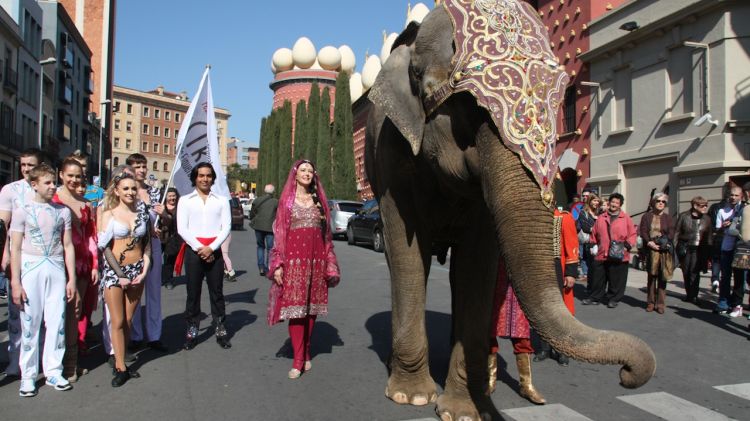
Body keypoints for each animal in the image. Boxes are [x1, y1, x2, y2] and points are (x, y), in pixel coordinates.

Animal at [368, 0, 656, 420]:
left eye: (559, 101)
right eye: (468, 106)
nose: (628, 374)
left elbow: (477, 265)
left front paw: (465, 410)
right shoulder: (391, 155)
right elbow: (407, 253)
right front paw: (411, 397)